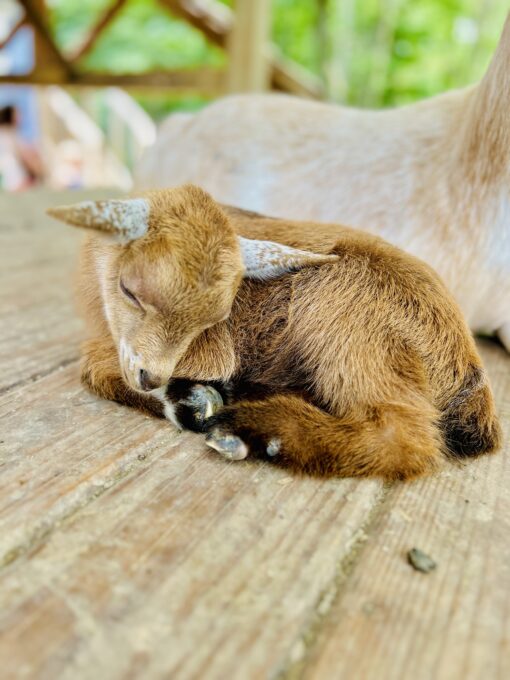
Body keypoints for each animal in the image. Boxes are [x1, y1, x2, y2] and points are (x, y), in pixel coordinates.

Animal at [47, 185, 502, 478]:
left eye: (214, 319)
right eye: (129, 290)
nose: (152, 377)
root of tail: (470, 378)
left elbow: (92, 366)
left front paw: (193, 400)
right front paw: (191, 398)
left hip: (344, 313)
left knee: (406, 437)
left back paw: (250, 428)